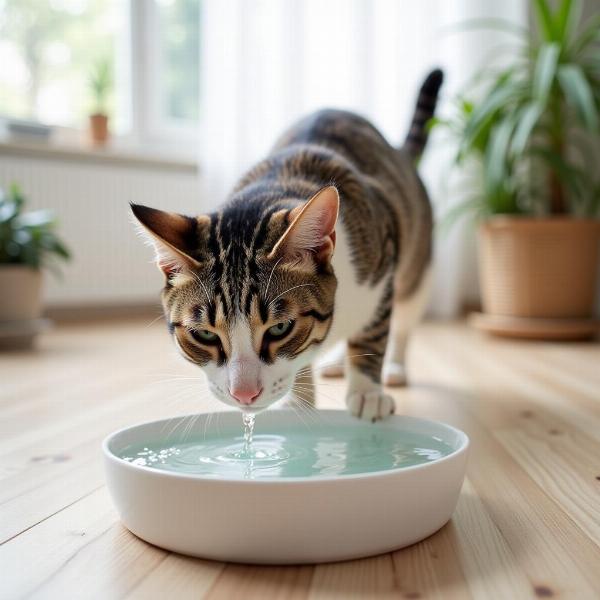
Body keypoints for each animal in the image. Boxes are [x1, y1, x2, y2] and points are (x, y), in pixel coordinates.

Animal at [134, 69, 442, 422]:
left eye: (280, 328)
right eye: (205, 334)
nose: (244, 394)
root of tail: (397, 151)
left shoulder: (382, 259)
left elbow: (372, 334)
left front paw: (366, 392)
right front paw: (299, 400)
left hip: (416, 268)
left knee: (403, 319)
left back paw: (394, 367)